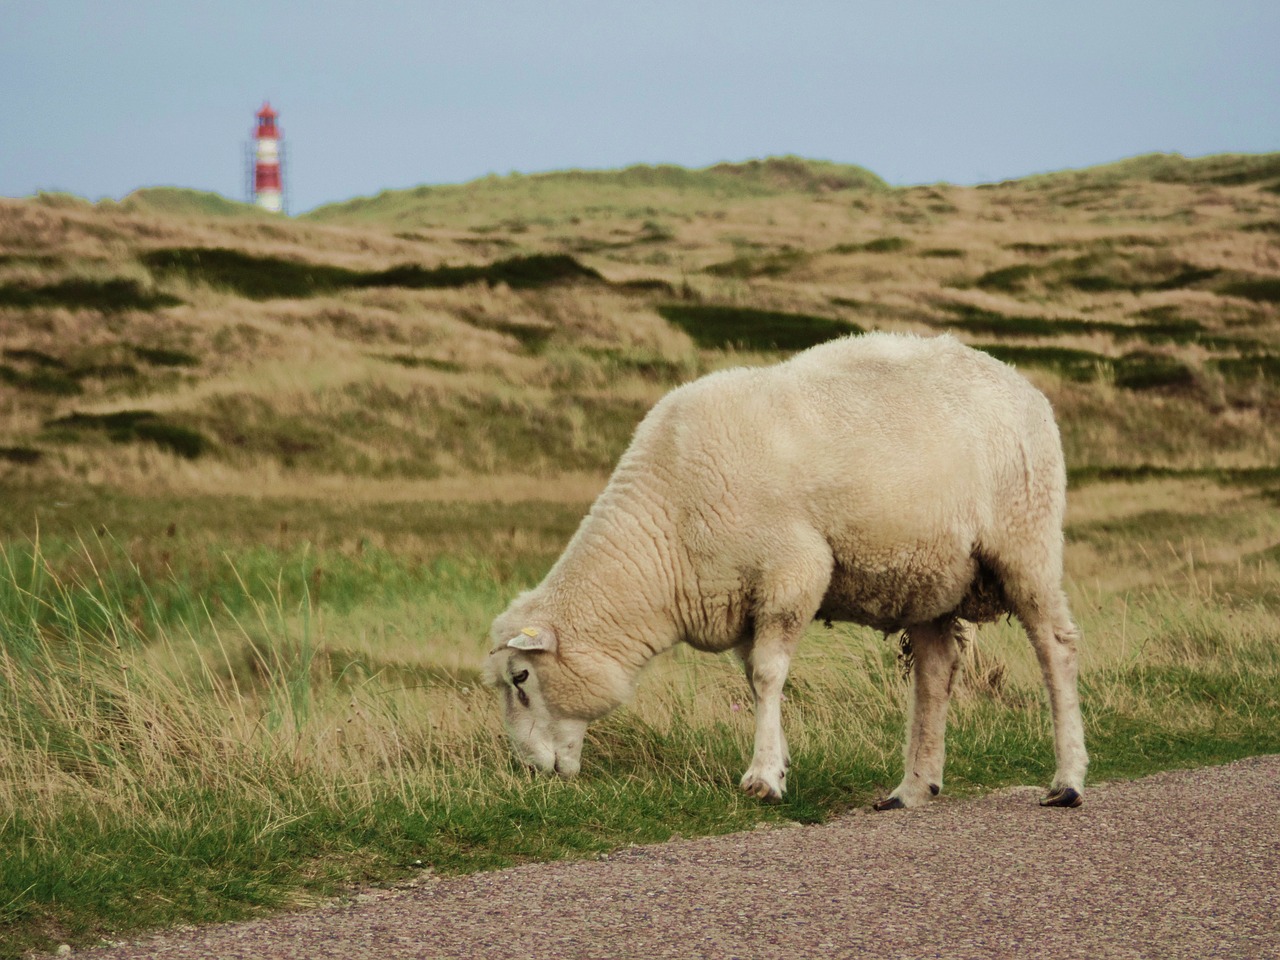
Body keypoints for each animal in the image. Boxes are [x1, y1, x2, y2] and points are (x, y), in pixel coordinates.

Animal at [483, 335, 1085, 808]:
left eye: (521, 678)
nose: (531, 771)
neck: (665, 529)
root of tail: (1018, 380)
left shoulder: (792, 571)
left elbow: (768, 675)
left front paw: (763, 777)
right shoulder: (741, 598)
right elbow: (753, 678)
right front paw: (778, 760)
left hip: (1025, 540)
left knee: (1054, 646)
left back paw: (1067, 779)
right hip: (928, 576)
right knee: (936, 673)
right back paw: (913, 788)